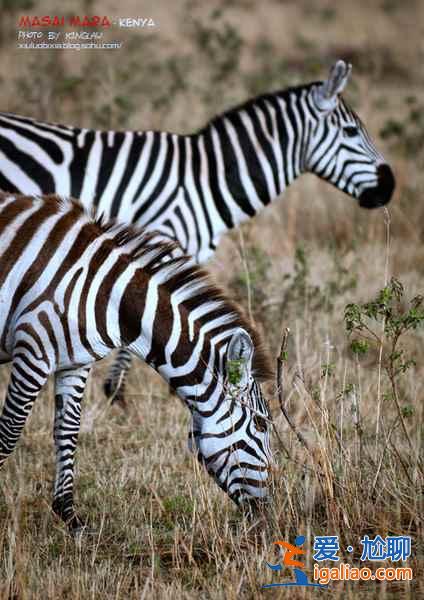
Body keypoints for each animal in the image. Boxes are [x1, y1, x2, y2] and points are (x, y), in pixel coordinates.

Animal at [0, 191, 274, 528]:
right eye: (260, 425)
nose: (267, 513)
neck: (109, 296)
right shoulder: (33, 353)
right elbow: (9, 432)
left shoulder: (74, 362)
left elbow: (67, 431)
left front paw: (70, 517)